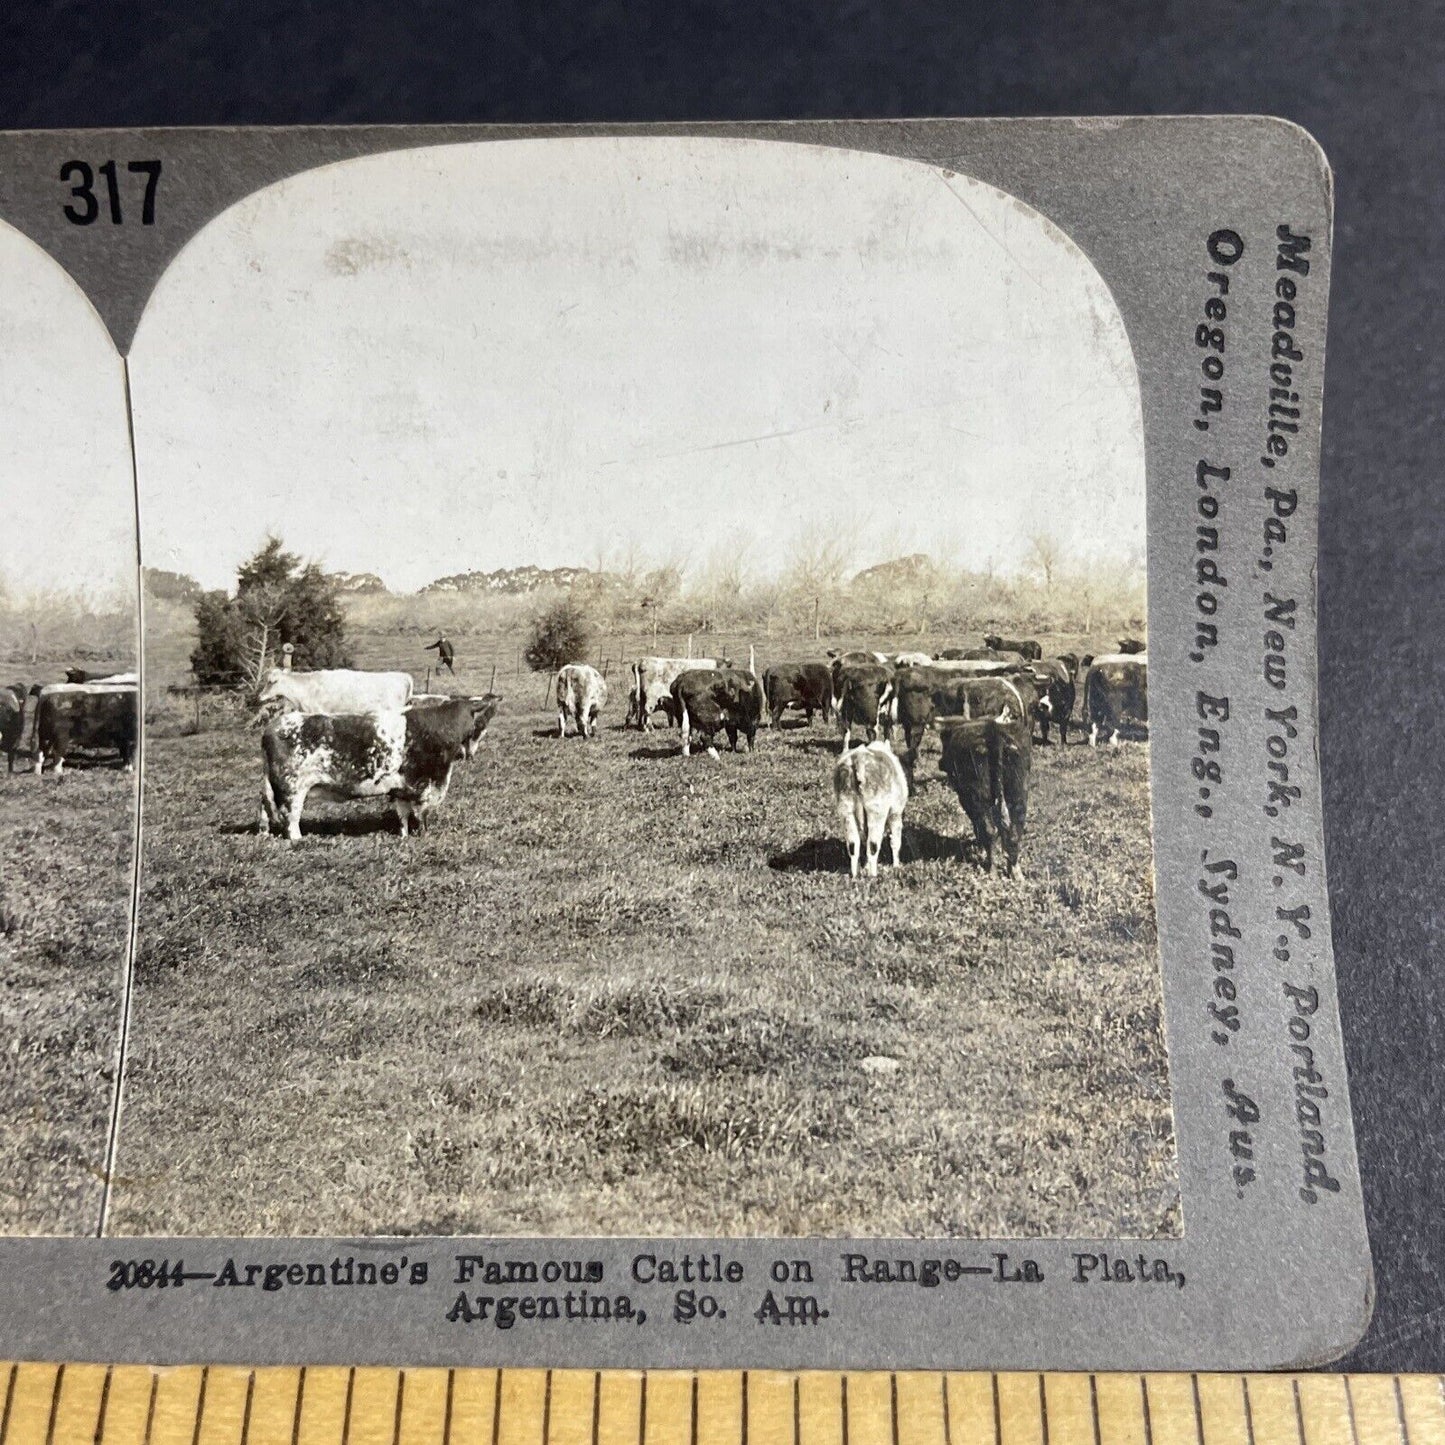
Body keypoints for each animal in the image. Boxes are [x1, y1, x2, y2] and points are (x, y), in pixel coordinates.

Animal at [260, 696, 502, 843]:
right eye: (477, 721)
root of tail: (272, 726)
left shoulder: (402, 789)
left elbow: (403, 815)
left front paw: (404, 836)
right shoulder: (423, 785)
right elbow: (421, 814)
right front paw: (423, 835)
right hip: (292, 790)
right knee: (291, 818)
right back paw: (299, 841)